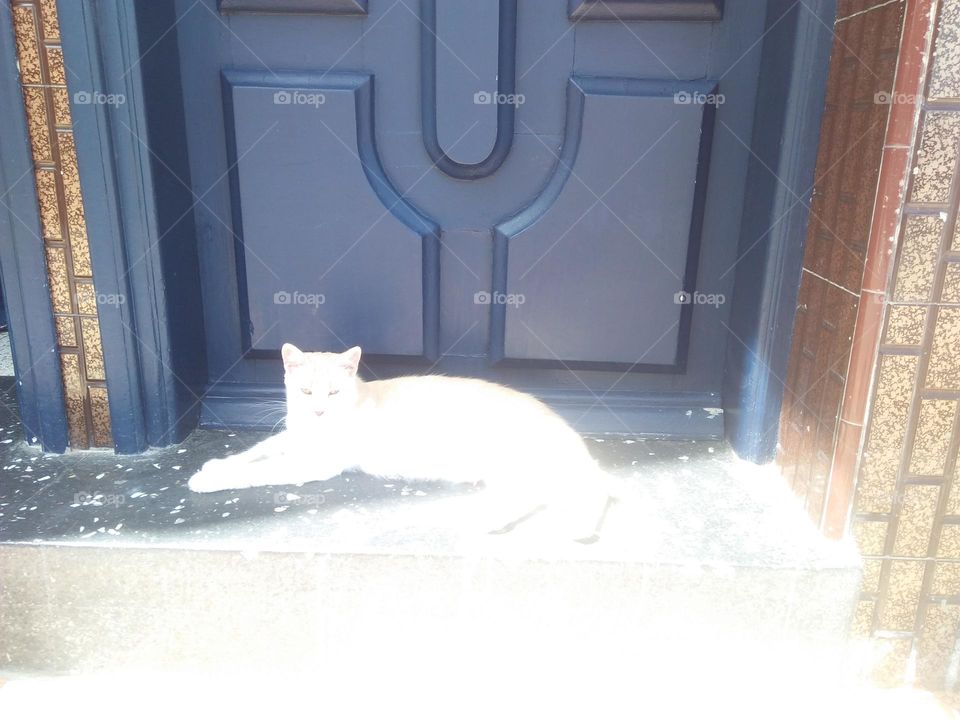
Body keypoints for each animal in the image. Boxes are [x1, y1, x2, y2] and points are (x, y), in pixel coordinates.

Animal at [190, 344, 612, 540]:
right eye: (306, 391)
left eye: (334, 393)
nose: (319, 412)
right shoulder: (292, 440)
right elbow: (256, 452)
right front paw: (217, 464)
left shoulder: (312, 463)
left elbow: (262, 470)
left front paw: (208, 479)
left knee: (589, 492)